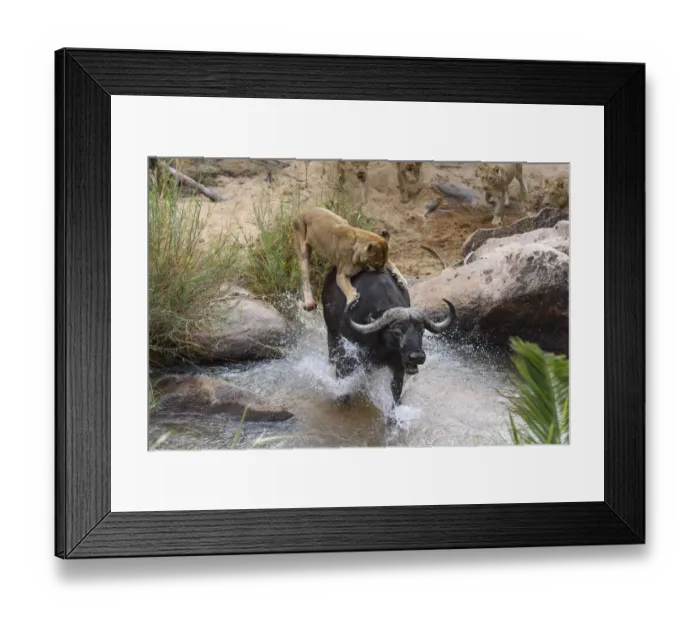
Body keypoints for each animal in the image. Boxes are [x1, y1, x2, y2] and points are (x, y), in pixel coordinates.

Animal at [321, 266, 456, 405]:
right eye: (397, 332)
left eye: (422, 331)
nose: (417, 357)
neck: (380, 345)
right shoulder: (347, 356)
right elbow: (343, 381)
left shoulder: (398, 365)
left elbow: (396, 390)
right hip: (331, 332)